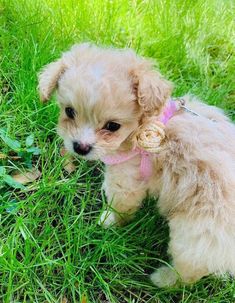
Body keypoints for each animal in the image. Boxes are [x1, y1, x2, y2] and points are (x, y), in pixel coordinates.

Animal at [38, 42, 235, 288]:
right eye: (69, 111)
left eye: (113, 126)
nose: (80, 147)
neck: (144, 127)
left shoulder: (126, 180)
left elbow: (120, 207)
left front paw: (108, 222)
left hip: (195, 233)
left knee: (190, 271)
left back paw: (163, 279)